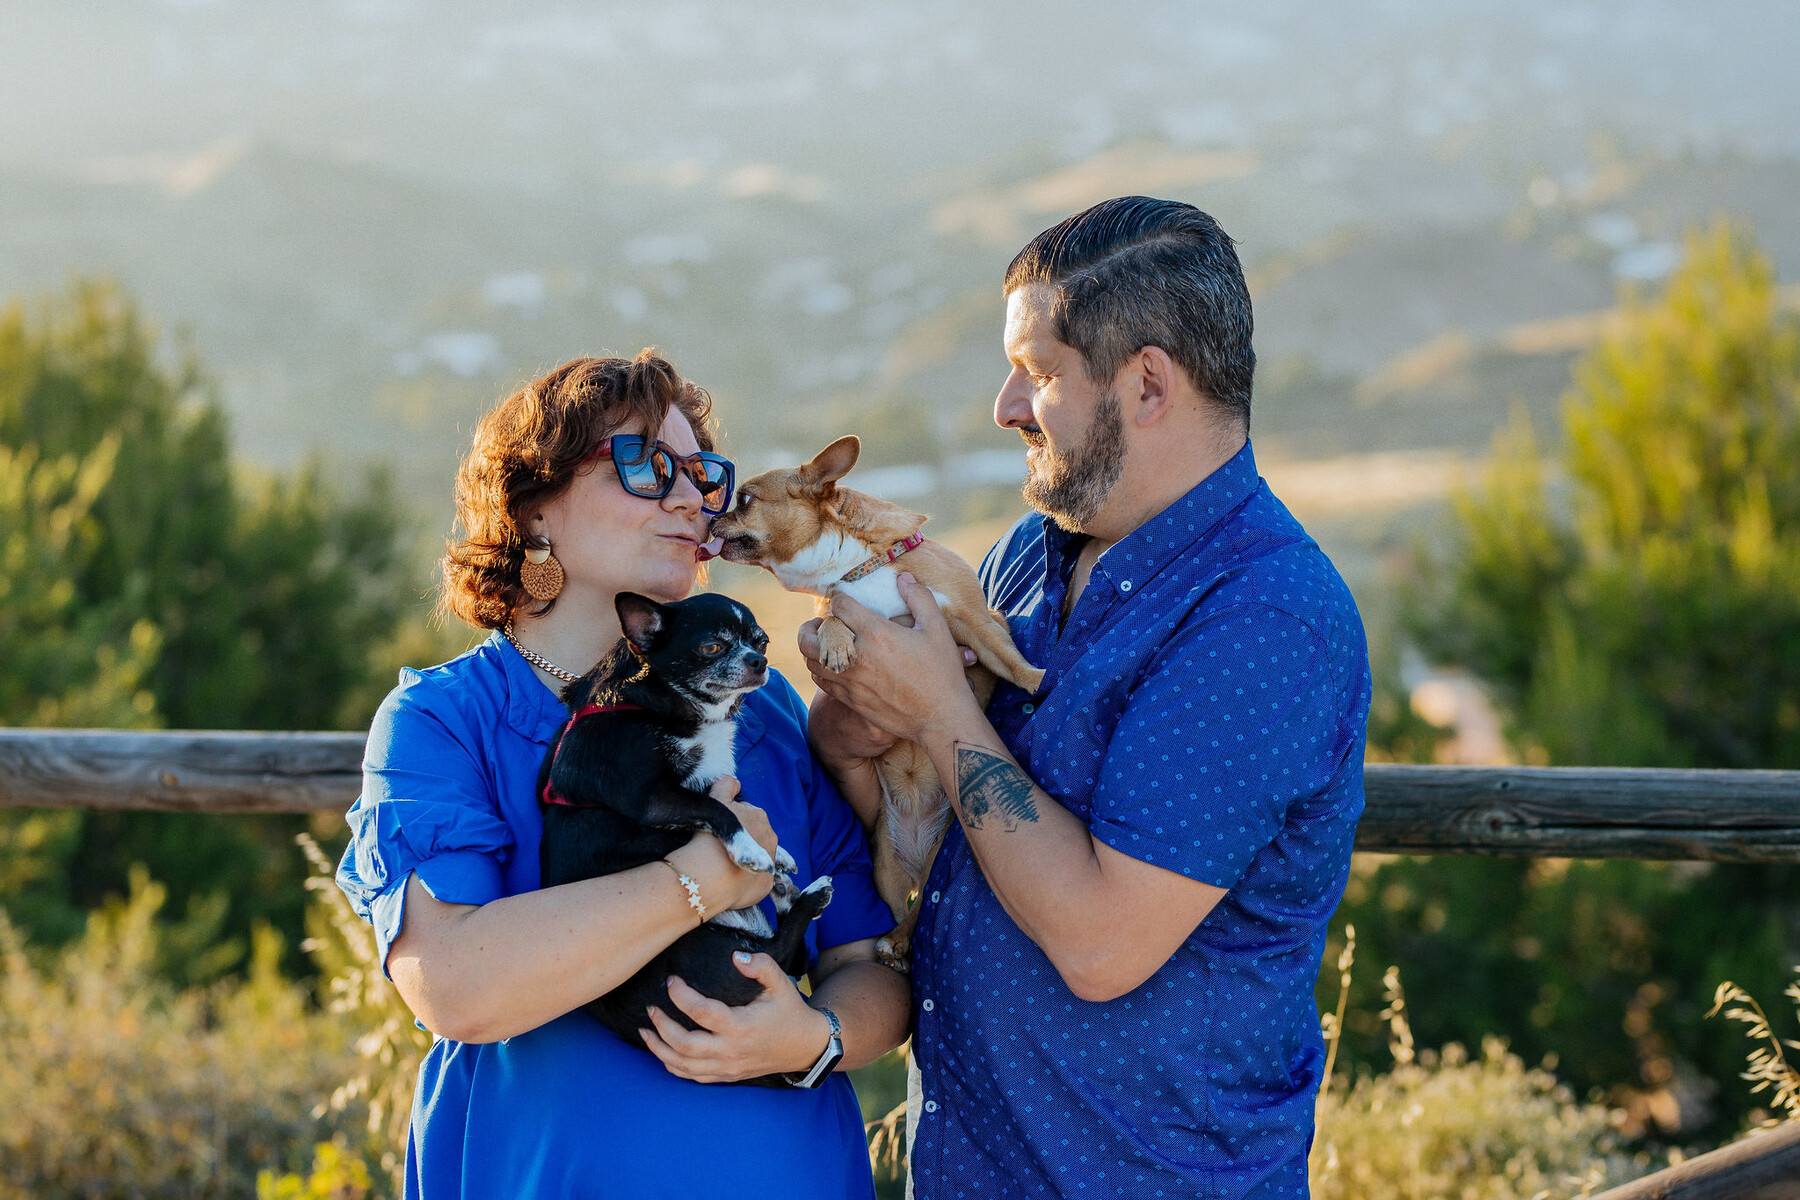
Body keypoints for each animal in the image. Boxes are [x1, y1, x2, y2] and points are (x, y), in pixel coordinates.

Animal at [536, 590, 831, 1079]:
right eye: (711, 647)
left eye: (762, 641)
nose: (758, 661)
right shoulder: (653, 798)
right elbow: (721, 810)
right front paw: (751, 850)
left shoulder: (705, 780)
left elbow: (736, 804)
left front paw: (780, 855)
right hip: (705, 951)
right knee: (780, 952)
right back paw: (806, 897)